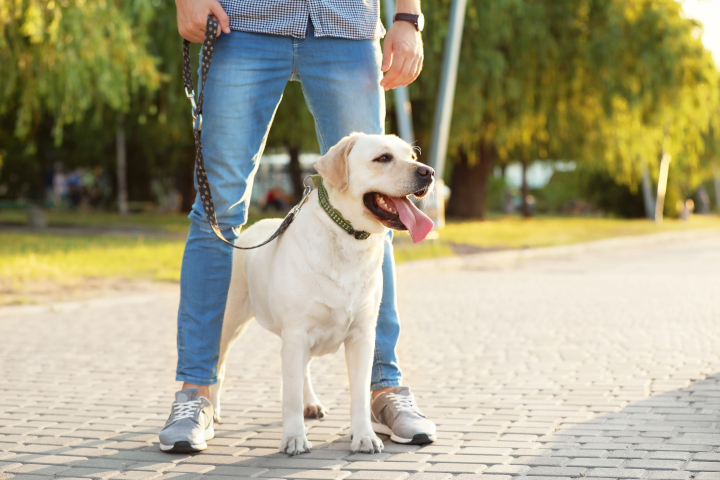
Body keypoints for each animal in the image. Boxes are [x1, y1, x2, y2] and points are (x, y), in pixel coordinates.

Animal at [208, 133, 434, 456]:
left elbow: (359, 395)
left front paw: (364, 436)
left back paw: (311, 403)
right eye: (383, 158)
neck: (349, 238)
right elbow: (289, 397)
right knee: (220, 366)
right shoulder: (296, 333)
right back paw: (212, 409)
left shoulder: (363, 336)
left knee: (304, 369)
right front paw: (294, 438)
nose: (429, 172)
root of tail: (251, 230)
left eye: (412, 157)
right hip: (230, 322)